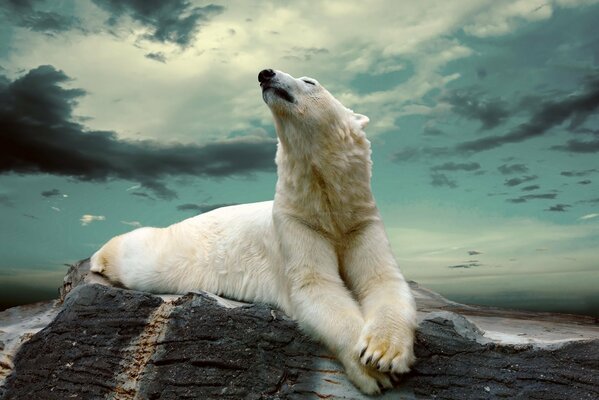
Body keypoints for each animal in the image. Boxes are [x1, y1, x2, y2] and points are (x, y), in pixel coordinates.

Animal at [90, 69, 418, 394]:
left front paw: (383, 352)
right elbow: (316, 286)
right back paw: (99, 258)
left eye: (310, 81)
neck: (325, 204)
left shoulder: (360, 221)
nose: (265, 73)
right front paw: (372, 370)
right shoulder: (295, 223)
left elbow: (382, 279)